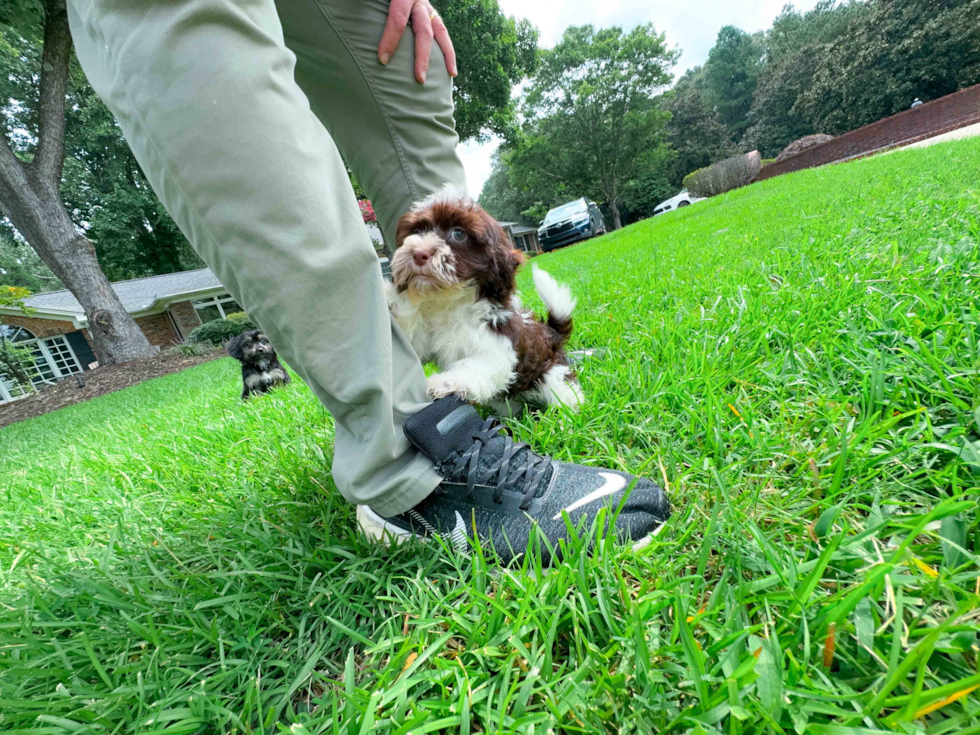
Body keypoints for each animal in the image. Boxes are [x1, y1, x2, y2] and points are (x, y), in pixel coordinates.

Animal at [384, 188, 580, 414]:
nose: (418, 253)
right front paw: (389, 297)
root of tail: (551, 332)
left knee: (563, 388)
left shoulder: (498, 345)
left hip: (551, 371)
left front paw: (444, 382)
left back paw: (569, 411)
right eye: (416, 231)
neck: (451, 302)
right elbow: (414, 341)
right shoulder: (427, 339)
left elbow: (475, 364)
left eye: (458, 234)